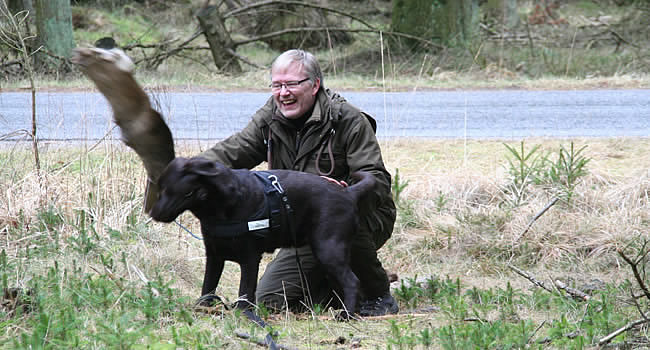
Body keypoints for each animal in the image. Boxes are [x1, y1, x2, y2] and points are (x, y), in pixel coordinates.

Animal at [148, 157, 374, 318]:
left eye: (170, 190)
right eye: (159, 188)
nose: (153, 213)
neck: (219, 206)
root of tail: (349, 193)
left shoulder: (250, 259)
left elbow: (245, 291)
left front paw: (243, 314)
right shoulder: (214, 256)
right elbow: (208, 287)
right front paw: (202, 308)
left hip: (328, 250)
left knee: (352, 282)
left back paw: (346, 315)